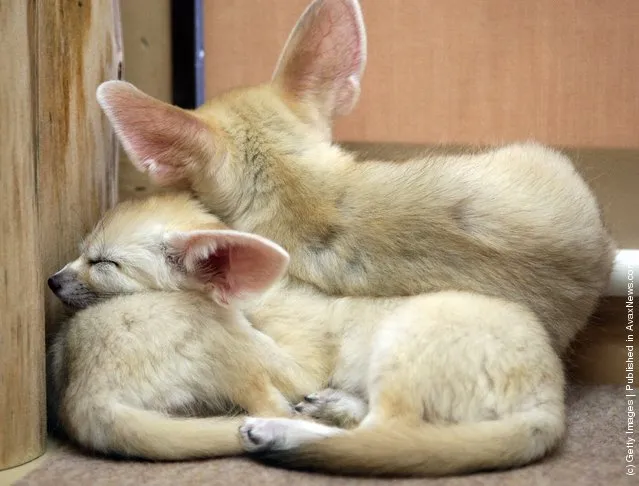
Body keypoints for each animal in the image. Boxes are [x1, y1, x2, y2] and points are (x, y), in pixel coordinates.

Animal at [48, 194, 564, 474]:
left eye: (104, 263)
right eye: (82, 252)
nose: (50, 281)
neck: (253, 297)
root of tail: (551, 399)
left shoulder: (299, 360)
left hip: (404, 338)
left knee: (380, 433)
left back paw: (281, 431)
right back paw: (332, 407)